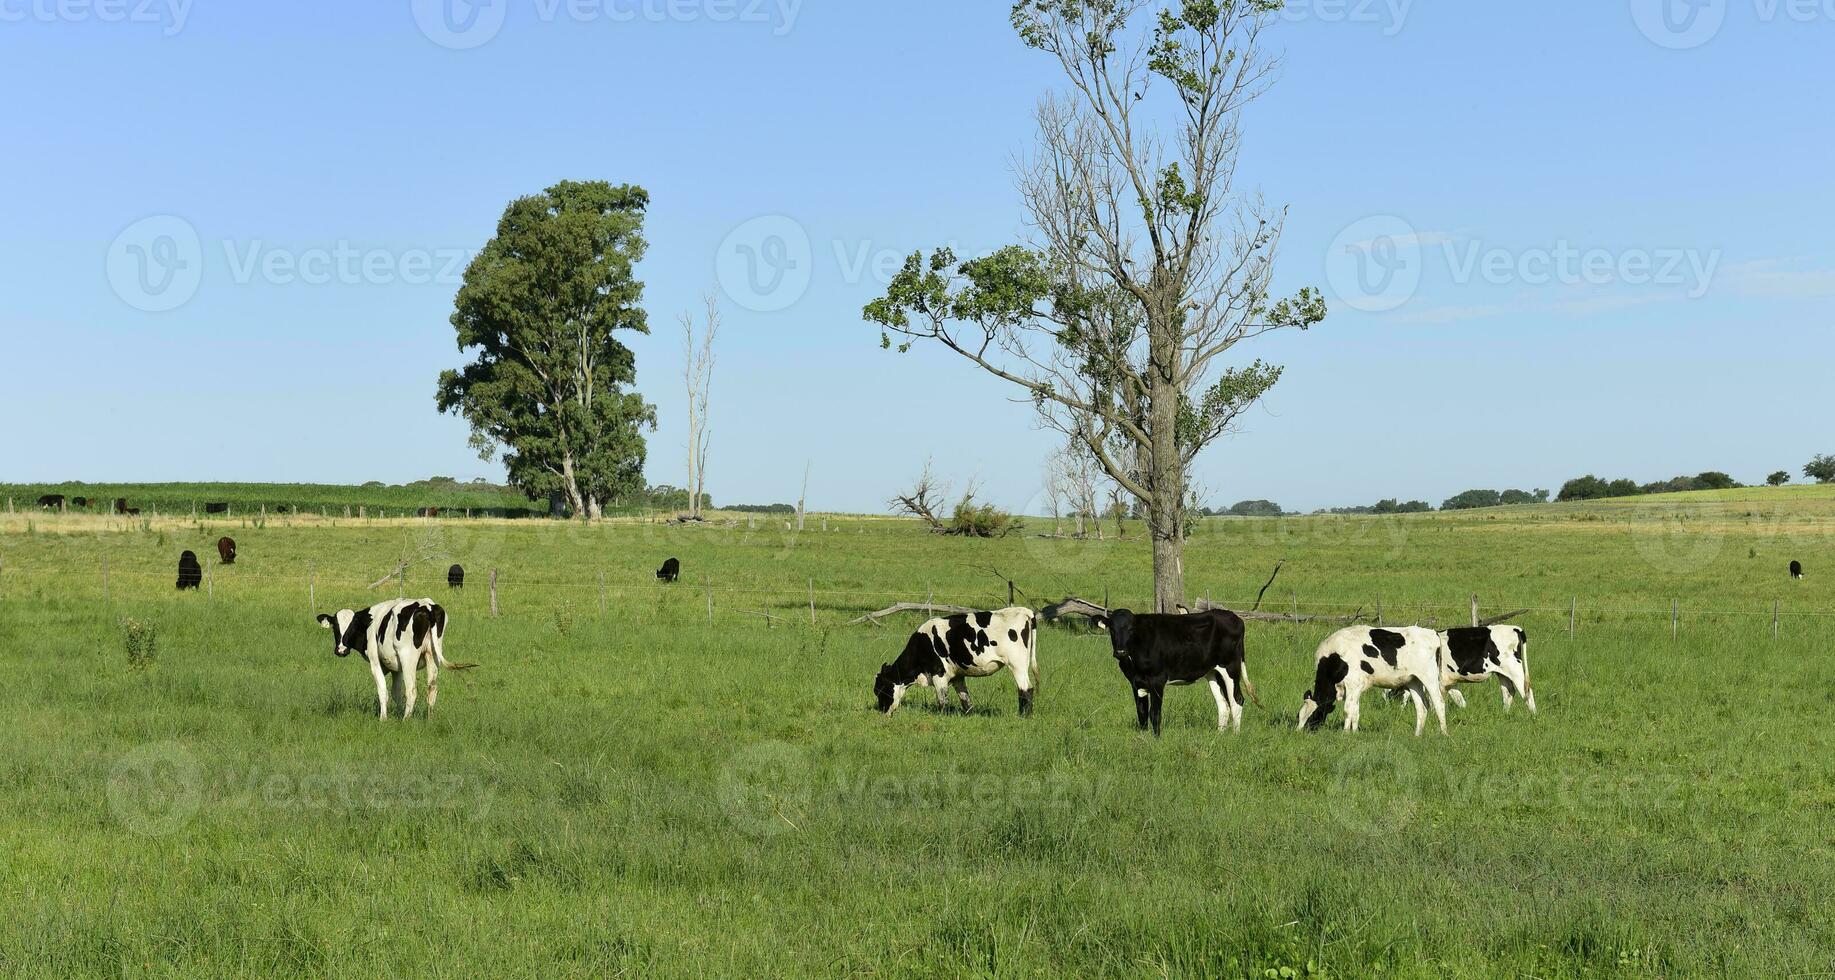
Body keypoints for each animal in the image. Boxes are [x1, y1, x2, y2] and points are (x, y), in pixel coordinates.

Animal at [317, 598, 477, 723]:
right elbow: (396, 693)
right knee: (432, 688)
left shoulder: (376, 662)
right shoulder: (396, 668)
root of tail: (427, 606)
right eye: (335, 627)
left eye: (353, 626)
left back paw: (406, 720)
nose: (341, 650)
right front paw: (398, 713)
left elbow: (383, 691)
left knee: (412, 690)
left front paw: (383, 719)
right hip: (433, 655)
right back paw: (429, 719)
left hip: (408, 658)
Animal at [877, 609, 1042, 719]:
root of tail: (1024, 610)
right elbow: (965, 698)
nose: (881, 712)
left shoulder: (938, 674)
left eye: (880, 690)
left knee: (1025, 689)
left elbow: (943, 700)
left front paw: (942, 717)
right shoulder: (957, 676)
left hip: (1017, 664)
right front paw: (969, 715)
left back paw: (1023, 717)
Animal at [1093, 605, 1255, 737]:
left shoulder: (1157, 680)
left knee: (1237, 700)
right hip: (1213, 672)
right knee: (1223, 704)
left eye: (1131, 629)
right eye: (1111, 629)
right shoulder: (1135, 682)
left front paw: (1156, 740)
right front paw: (1143, 740)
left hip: (1230, 667)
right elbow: (1142, 713)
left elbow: (1154, 714)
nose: (1120, 651)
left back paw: (1235, 736)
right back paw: (1219, 735)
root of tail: (1234, 617)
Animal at [1291, 631, 1445, 737]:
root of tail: (1433, 632)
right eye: (1299, 716)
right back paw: (1417, 735)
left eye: (1314, 715)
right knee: (1421, 708)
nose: (1299, 732)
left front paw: (1345, 734)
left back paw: (1444, 734)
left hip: (1429, 678)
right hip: (1414, 681)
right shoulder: (1356, 688)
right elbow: (1355, 711)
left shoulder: (1352, 683)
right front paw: (1354, 733)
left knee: (1439, 703)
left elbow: (1347, 710)